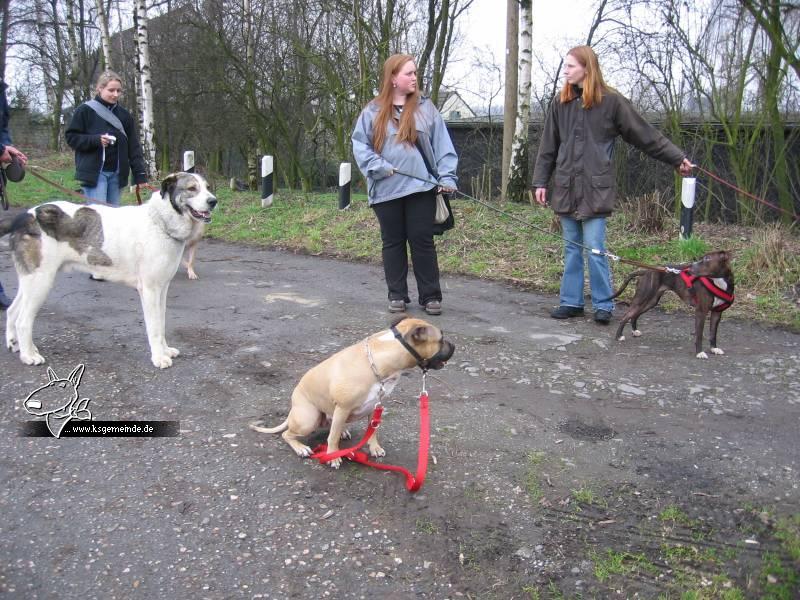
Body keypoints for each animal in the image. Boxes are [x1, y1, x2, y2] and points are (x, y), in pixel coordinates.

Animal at [0, 173, 217, 368]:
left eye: (207, 187)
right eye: (192, 188)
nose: (213, 201)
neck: (160, 222)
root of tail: (25, 216)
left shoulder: (162, 289)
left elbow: (161, 323)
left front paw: (165, 350)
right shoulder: (149, 290)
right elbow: (154, 327)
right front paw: (158, 358)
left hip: (31, 282)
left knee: (12, 311)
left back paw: (16, 344)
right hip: (41, 282)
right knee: (23, 321)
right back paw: (29, 356)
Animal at [248, 316, 456, 472]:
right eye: (441, 339)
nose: (454, 346)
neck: (380, 360)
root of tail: (293, 408)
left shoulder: (376, 406)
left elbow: (372, 430)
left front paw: (374, 448)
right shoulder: (343, 407)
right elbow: (331, 438)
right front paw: (332, 456)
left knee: (332, 425)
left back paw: (343, 431)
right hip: (309, 419)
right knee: (288, 435)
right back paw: (302, 448)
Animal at [608, 250, 736, 358]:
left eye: (707, 259)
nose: (690, 267)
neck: (718, 281)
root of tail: (645, 271)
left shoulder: (717, 313)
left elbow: (713, 333)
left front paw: (714, 348)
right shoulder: (701, 311)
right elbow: (699, 335)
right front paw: (699, 353)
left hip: (651, 301)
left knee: (634, 315)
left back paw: (634, 331)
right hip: (642, 298)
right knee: (626, 316)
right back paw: (619, 336)